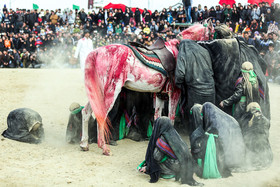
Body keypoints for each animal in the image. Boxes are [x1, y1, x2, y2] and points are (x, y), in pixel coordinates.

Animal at [81, 22, 214, 156]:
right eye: (211, 32)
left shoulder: (160, 95)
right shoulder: (174, 93)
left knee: (86, 112)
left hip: (97, 93)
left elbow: (158, 118)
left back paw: (84, 144)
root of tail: (97, 52)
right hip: (110, 91)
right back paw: (104, 148)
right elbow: (170, 118)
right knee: (101, 115)